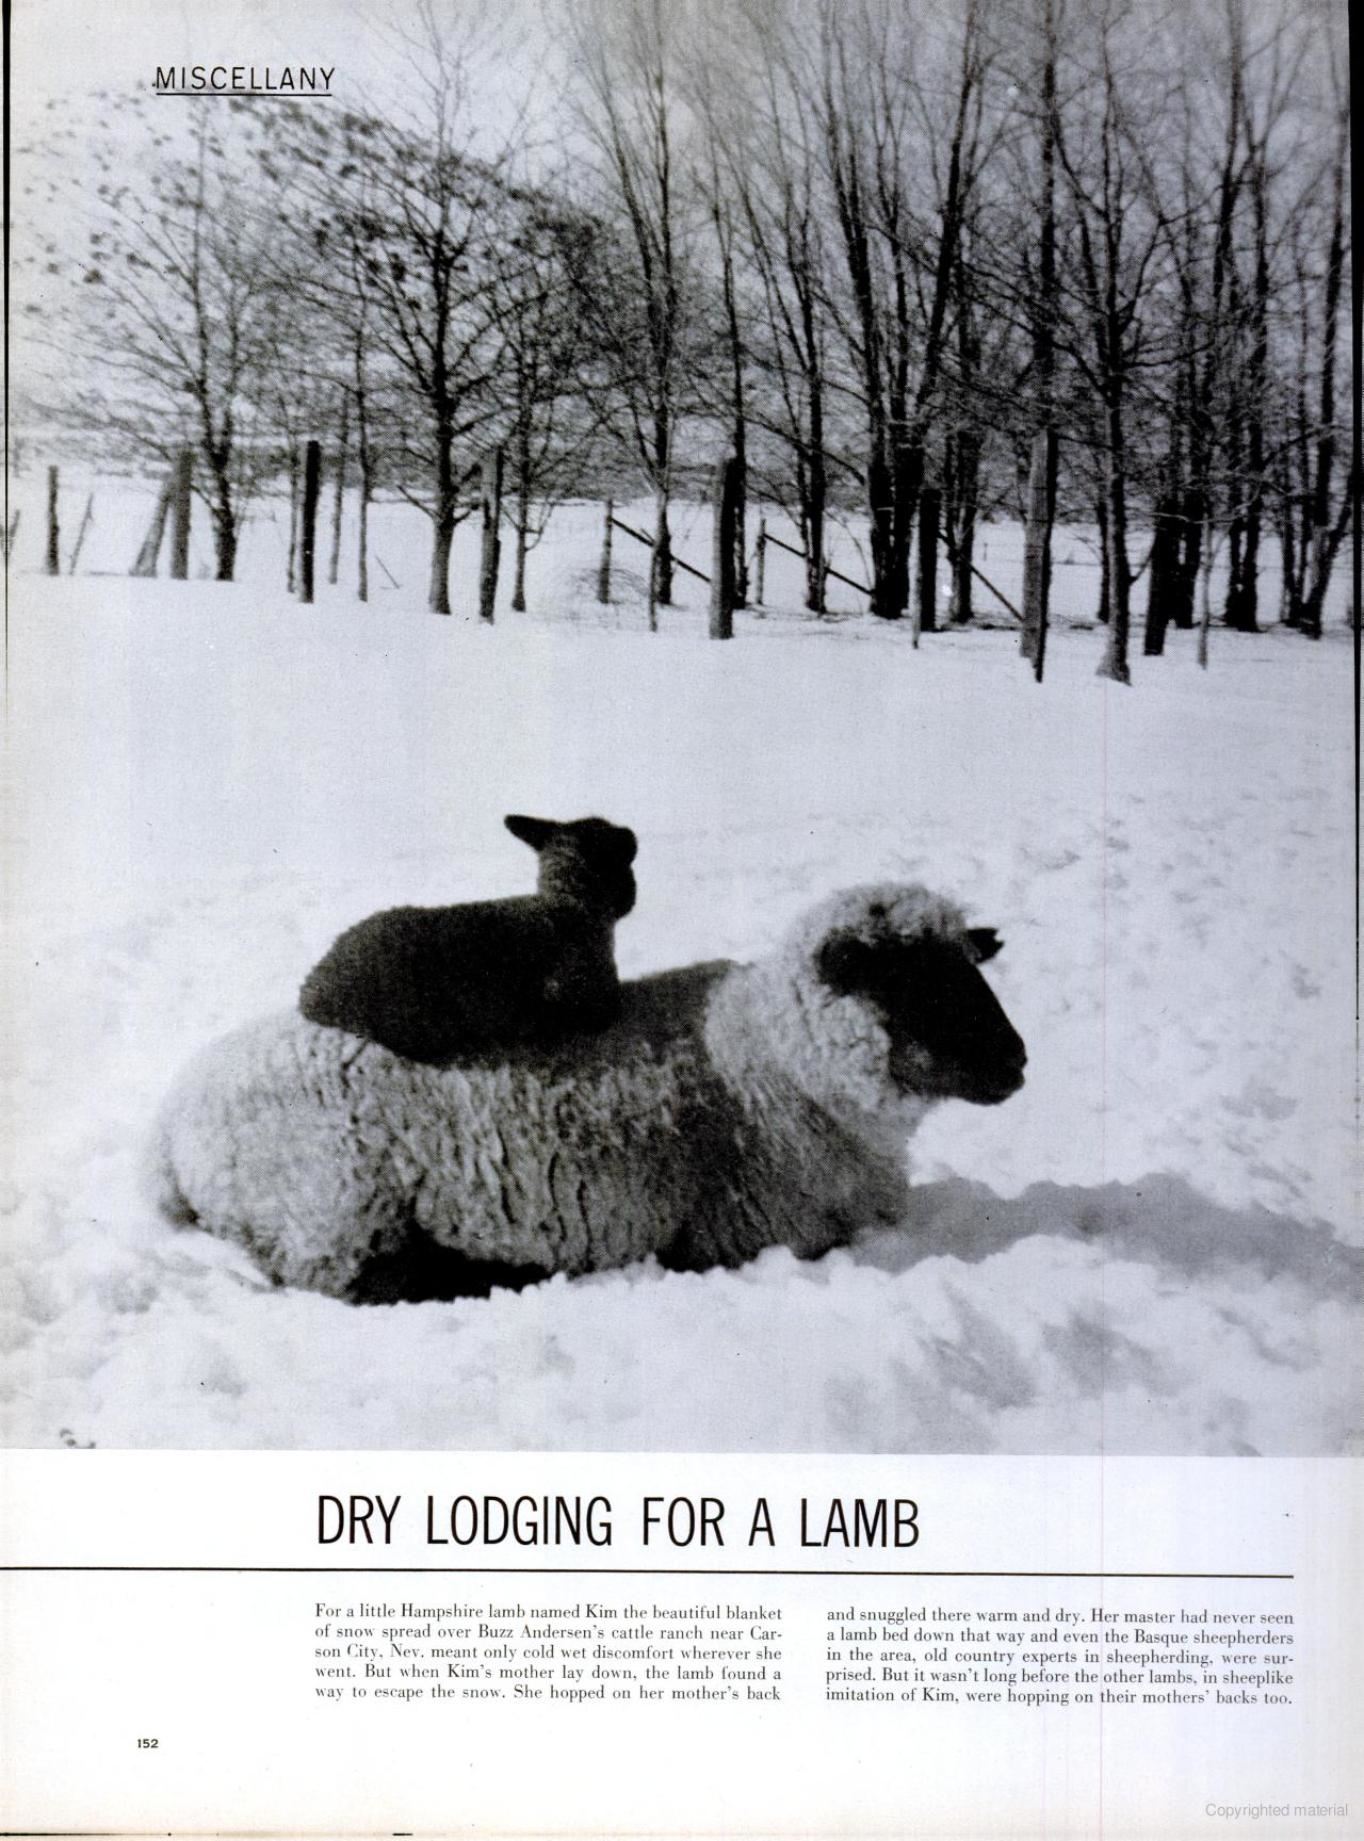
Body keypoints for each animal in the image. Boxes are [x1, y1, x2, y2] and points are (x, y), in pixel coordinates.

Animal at [150, 883, 1026, 1304]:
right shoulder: (755, 1234)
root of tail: (166, 1128)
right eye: (905, 977)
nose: (1017, 1061)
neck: (770, 1061)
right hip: (333, 1205)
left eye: (967, 963)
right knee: (357, 1284)